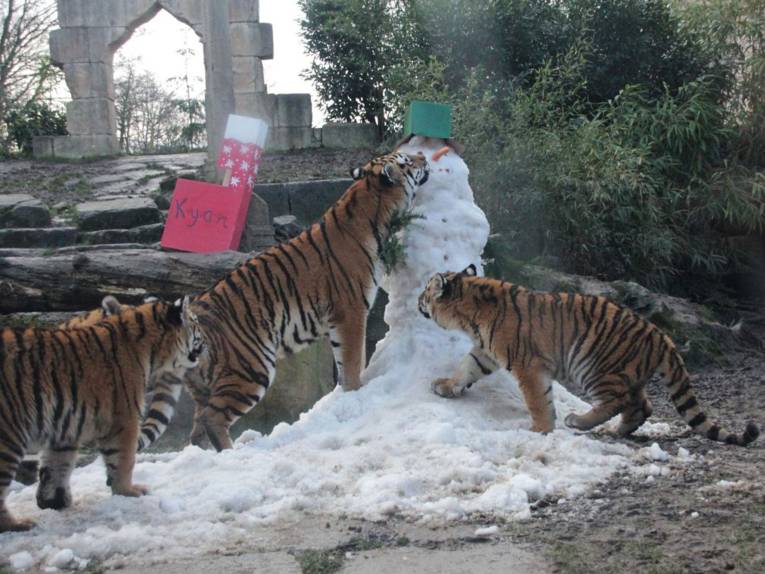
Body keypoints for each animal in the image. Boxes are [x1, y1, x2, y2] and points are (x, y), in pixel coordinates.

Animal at [0, 297, 205, 533]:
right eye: (195, 321)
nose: (206, 340)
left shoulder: (64, 429)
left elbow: (57, 465)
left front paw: (53, 501)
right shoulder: (124, 418)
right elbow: (124, 459)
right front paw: (128, 491)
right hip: (8, 435)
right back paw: (18, 524)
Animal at [185, 151, 430, 451]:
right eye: (407, 160)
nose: (424, 156)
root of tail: (194, 310)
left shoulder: (339, 321)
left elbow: (343, 363)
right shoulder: (351, 312)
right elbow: (353, 361)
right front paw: (355, 393)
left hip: (204, 385)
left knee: (197, 428)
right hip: (251, 367)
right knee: (213, 417)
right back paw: (230, 453)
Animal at [418, 265, 759, 446]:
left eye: (424, 293)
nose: (417, 301)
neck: (470, 315)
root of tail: (660, 334)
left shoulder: (528, 366)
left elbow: (538, 400)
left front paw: (539, 430)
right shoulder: (485, 353)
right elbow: (465, 368)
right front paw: (446, 386)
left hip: (595, 367)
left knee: (617, 402)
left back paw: (581, 421)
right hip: (626, 375)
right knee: (641, 406)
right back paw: (615, 430)